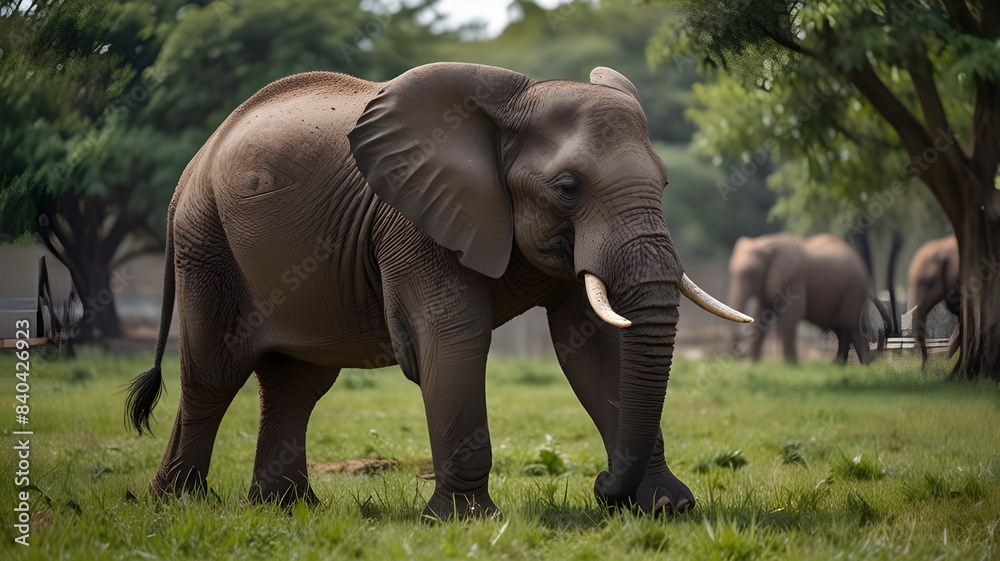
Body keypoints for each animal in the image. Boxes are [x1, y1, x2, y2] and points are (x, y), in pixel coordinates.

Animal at [125, 63, 751, 520]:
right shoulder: (413, 221)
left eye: (664, 184)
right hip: (206, 242)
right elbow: (455, 339)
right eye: (568, 188)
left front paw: (667, 507)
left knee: (297, 383)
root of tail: (192, 167)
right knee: (213, 373)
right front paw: (465, 521)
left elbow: (599, 345)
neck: (514, 101)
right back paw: (179, 503)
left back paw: (287, 508)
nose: (601, 487)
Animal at [728, 233, 880, 364]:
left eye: (752, 272)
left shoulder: (795, 281)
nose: (738, 351)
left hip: (854, 290)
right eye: (731, 270)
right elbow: (762, 316)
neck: (767, 243)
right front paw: (753, 366)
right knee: (841, 330)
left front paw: (791, 367)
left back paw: (865, 368)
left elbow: (791, 317)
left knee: (851, 326)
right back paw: (837, 367)